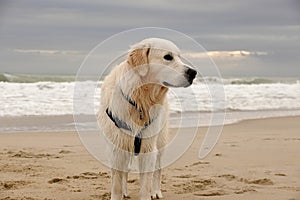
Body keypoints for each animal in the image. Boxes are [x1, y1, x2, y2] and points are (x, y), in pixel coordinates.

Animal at [98, 38, 197, 200]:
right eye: (168, 57)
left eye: (179, 57)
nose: (193, 73)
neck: (139, 101)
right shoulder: (116, 148)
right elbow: (117, 183)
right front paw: (119, 192)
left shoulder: (149, 148)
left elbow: (146, 183)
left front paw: (148, 193)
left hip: (160, 142)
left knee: (157, 170)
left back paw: (156, 191)